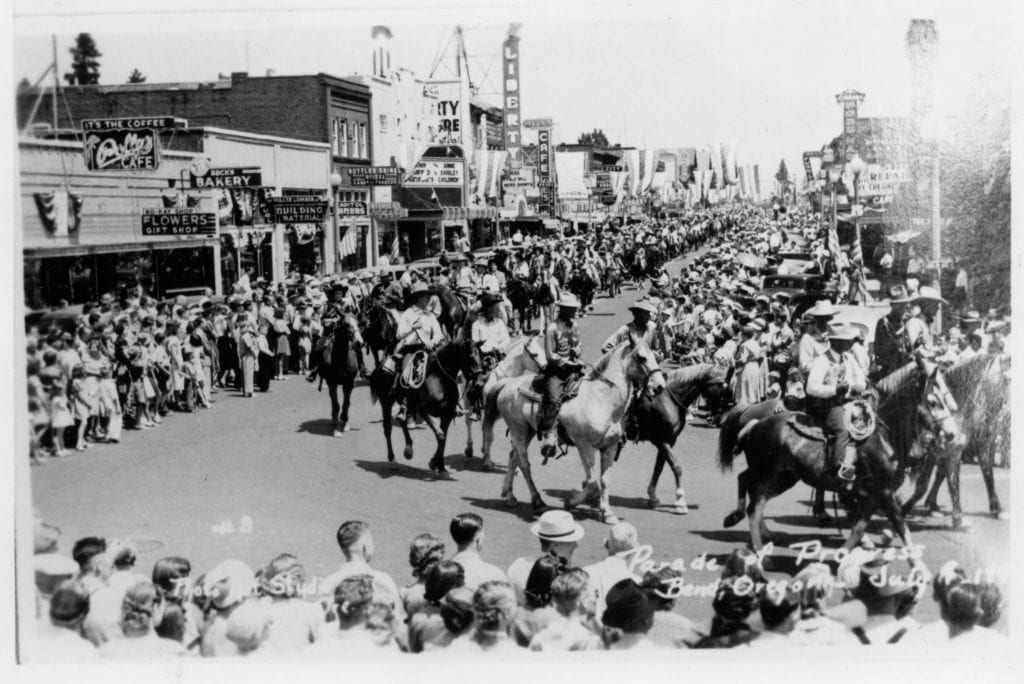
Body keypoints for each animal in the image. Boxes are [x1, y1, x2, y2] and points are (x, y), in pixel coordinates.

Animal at [368, 339, 479, 479]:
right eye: (470, 357)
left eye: (480, 356)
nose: (479, 382)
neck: (438, 378)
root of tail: (380, 366)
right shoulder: (424, 411)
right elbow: (440, 436)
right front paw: (434, 463)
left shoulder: (447, 415)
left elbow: (443, 438)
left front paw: (440, 467)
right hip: (386, 402)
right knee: (387, 429)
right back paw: (392, 460)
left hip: (407, 404)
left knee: (402, 420)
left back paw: (408, 449)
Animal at [485, 335, 667, 524]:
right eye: (641, 357)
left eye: (656, 355)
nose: (660, 386)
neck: (601, 399)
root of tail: (508, 384)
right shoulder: (584, 445)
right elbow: (592, 483)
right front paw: (571, 502)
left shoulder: (609, 447)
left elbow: (604, 480)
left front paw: (607, 513)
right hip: (518, 431)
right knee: (524, 464)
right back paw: (537, 501)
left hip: (528, 432)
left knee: (513, 457)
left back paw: (509, 496)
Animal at [618, 362, 733, 511]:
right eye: (725, 391)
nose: (723, 420)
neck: (667, 400)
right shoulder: (660, 440)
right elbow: (676, 466)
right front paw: (680, 500)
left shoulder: (670, 440)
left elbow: (659, 467)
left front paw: (653, 497)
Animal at [716, 358, 962, 557]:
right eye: (933, 402)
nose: (952, 433)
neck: (884, 437)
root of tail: (755, 422)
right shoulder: (882, 491)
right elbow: (897, 524)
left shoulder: (874, 494)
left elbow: (865, 522)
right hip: (772, 474)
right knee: (753, 500)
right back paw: (756, 543)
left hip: (784, 477)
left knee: (748, 486)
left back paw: (745, 524)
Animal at [901, 356, 1011, 528]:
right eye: (1007, 379)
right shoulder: (934, 451)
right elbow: (923, 483)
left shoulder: (974, 446)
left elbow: (987, 475)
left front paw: (997, 509)